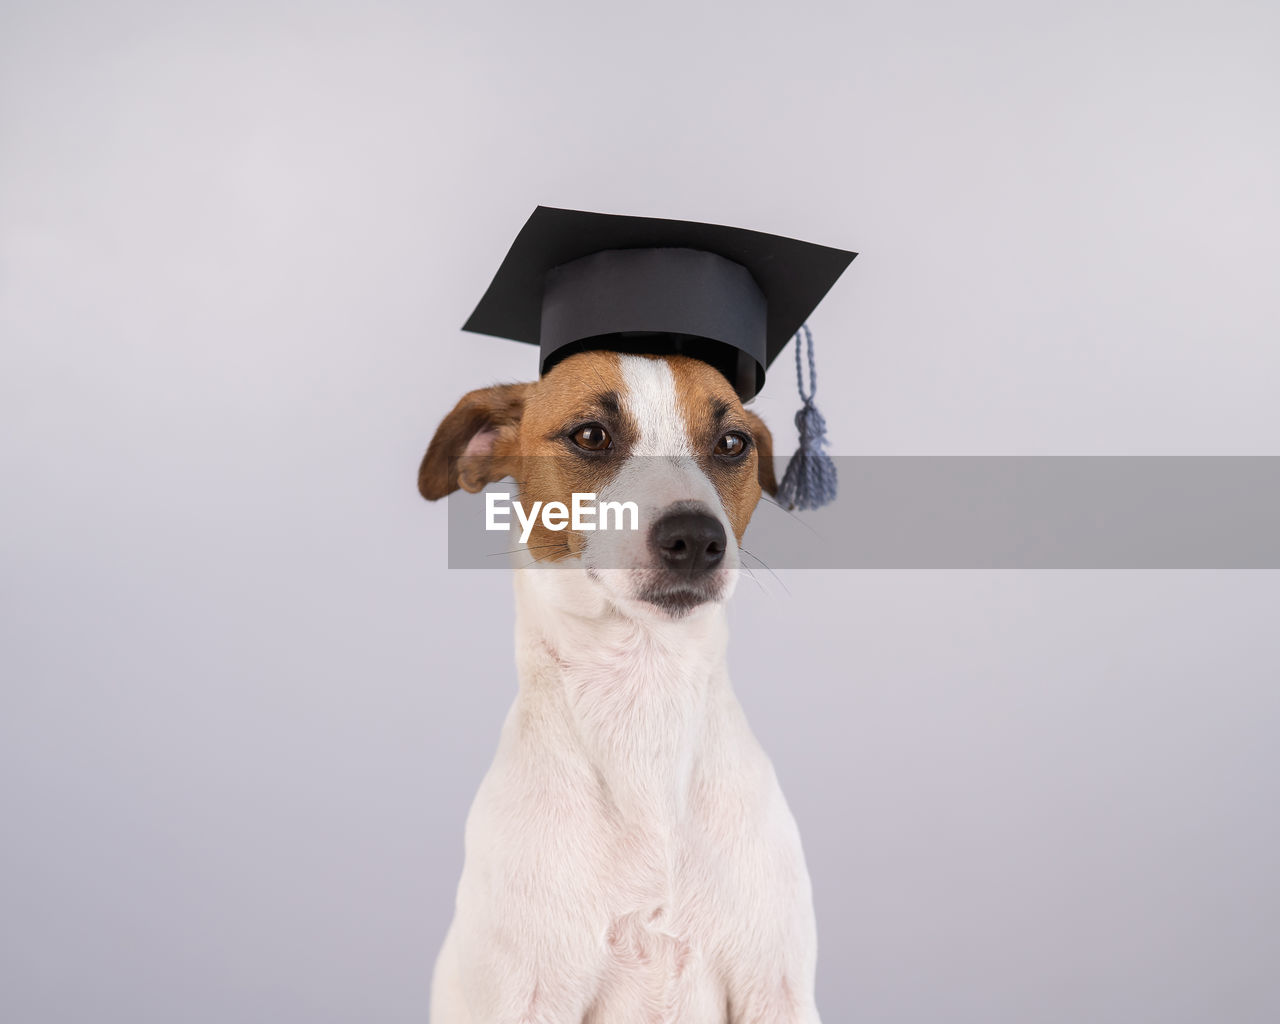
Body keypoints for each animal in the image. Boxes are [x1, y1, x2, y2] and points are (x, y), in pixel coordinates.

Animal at [417, 348, 819, 1018]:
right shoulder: (524, 997)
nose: (696, 537)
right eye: (591, 436)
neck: (643, 690)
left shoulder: (775, 989)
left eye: (732, 443)